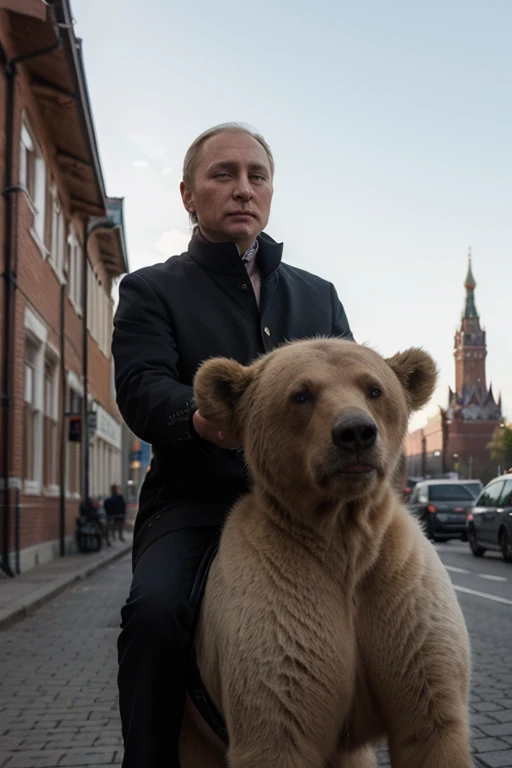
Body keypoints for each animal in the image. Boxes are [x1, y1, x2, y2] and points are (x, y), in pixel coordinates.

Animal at [180, 340, 472, 768]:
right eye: (301, 394)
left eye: (374, 388)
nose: (356, 432)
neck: (343, 535)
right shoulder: (276, 609)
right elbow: (280, 716)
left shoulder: (400, 588)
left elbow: (431, 721)